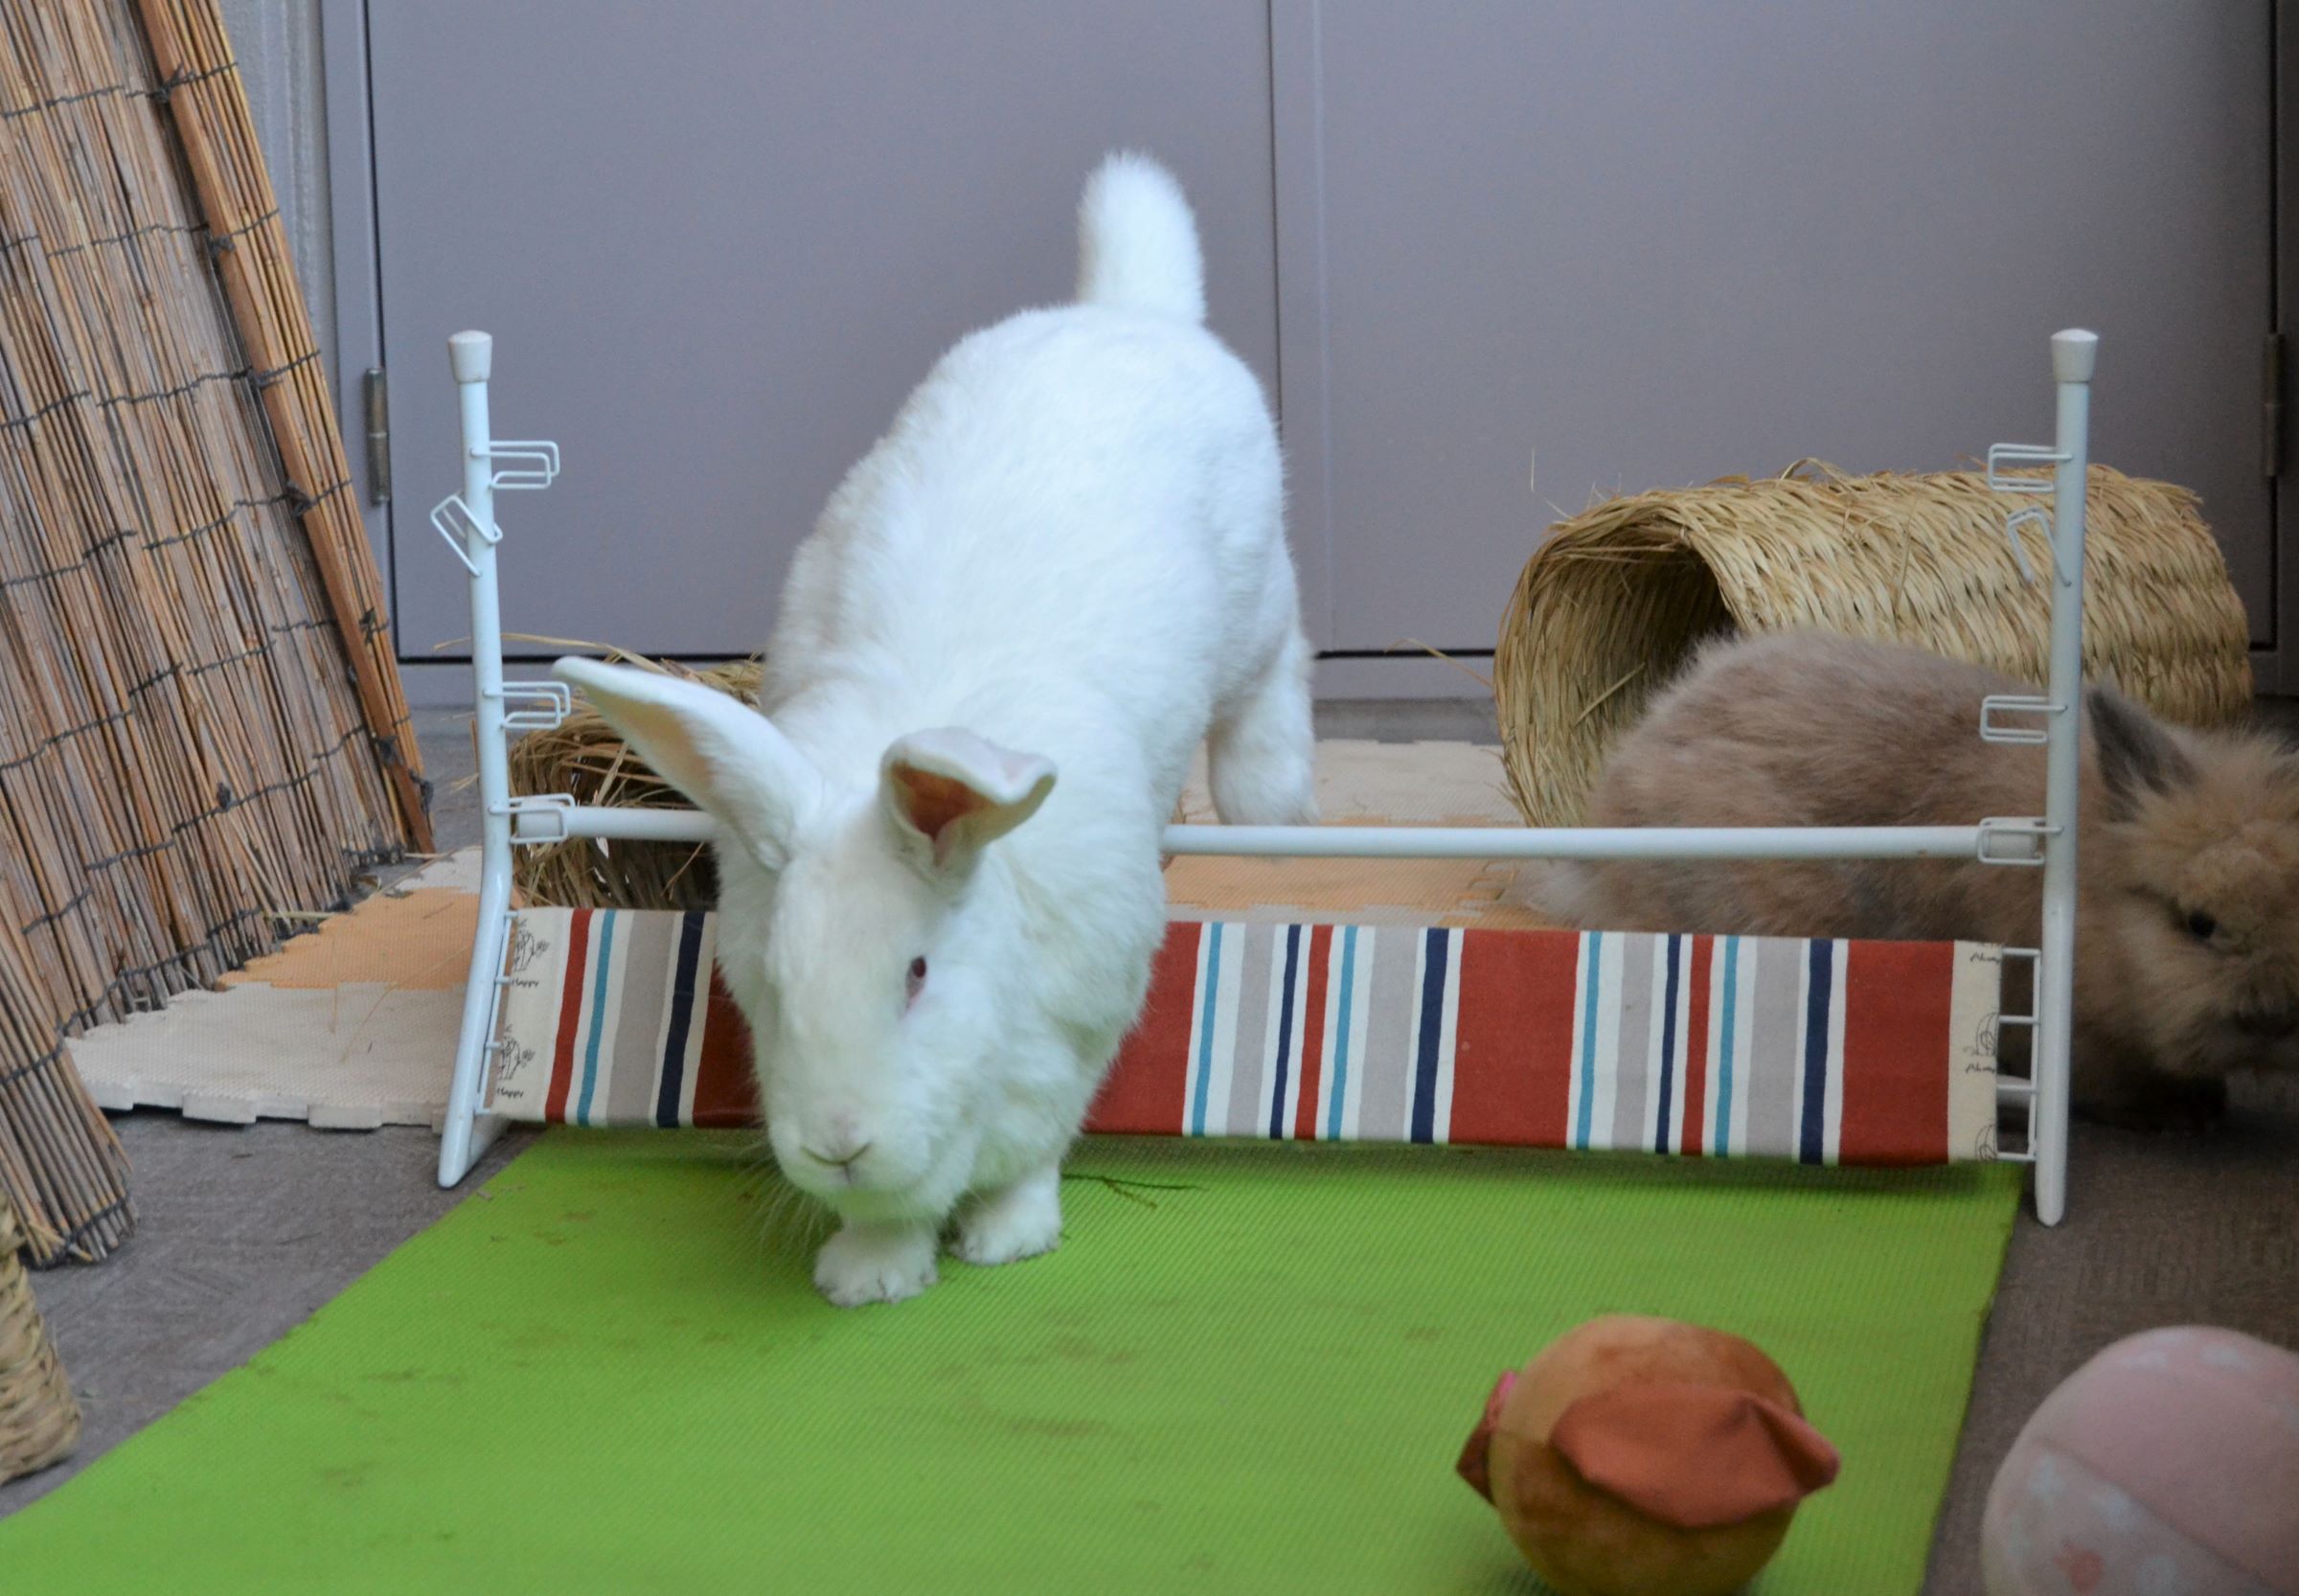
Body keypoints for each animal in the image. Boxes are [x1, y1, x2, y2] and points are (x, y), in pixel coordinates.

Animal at [555, 153, 1318, 1306]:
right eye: (779, 981)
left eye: (917, 973)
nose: (839, 1141)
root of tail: (1126, 310)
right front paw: (867, 1274)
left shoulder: (1071, 1029)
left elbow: (1033, 1150)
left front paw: (1008, 1237)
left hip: (1257, 599)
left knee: (1276, 672)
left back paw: (1272, 800)